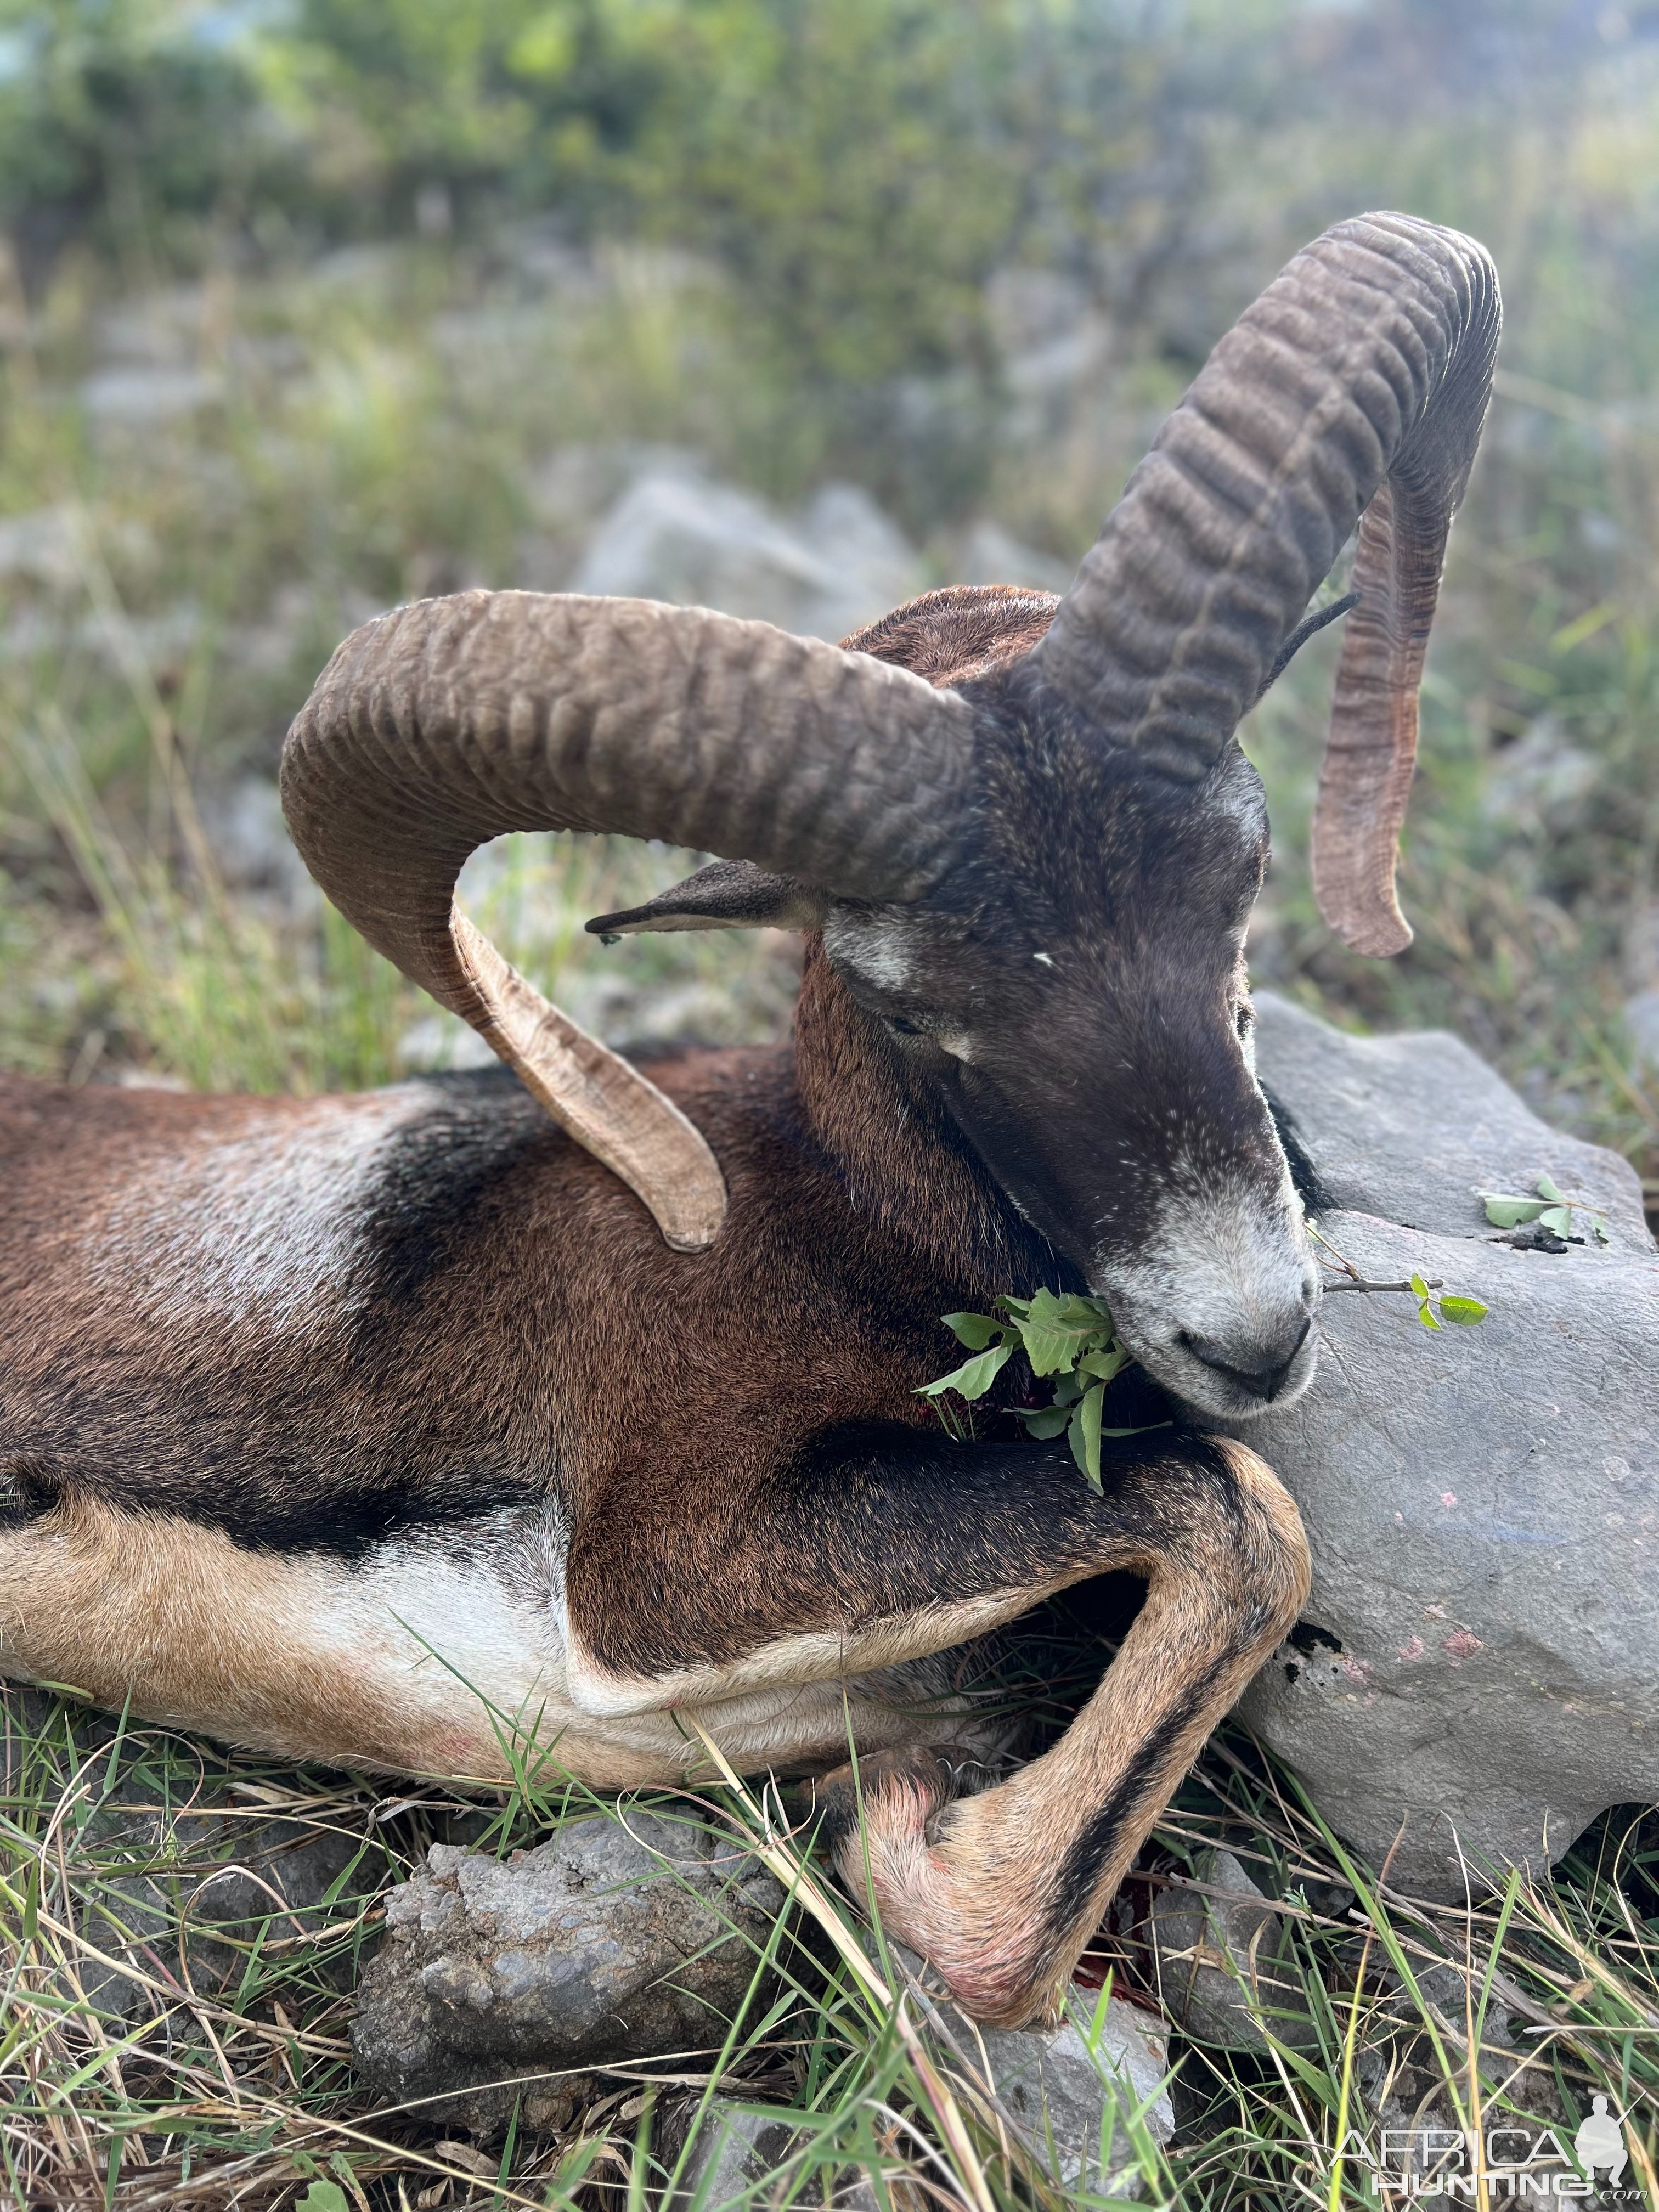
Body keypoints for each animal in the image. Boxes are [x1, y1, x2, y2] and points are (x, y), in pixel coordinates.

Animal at [0, 216, 1504, 2026]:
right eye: (913, 1003)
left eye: (1245, 879)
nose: (1254, 1332)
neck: (828, 1217)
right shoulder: (667, 1566)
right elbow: (1240, 1522)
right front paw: (916, 1844)